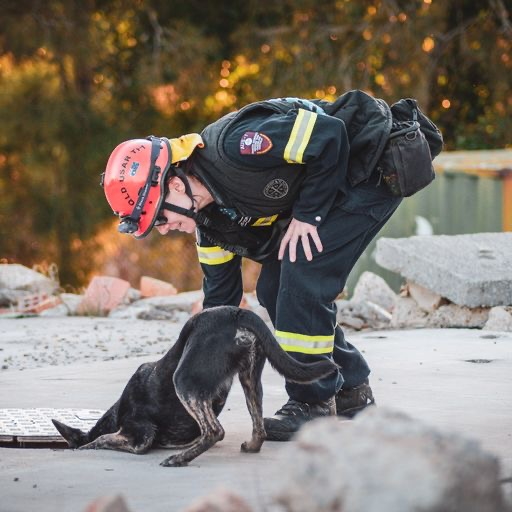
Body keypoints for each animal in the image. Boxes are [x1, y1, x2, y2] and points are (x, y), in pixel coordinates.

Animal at [52, 306, 336, 466]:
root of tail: (235, 313)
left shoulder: (141, 435)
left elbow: (104, 439)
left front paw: (88, 445)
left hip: (184, 380)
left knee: (214, 431)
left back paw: (179, 460)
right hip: (250, 379)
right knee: (259, 428)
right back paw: (250, 446)